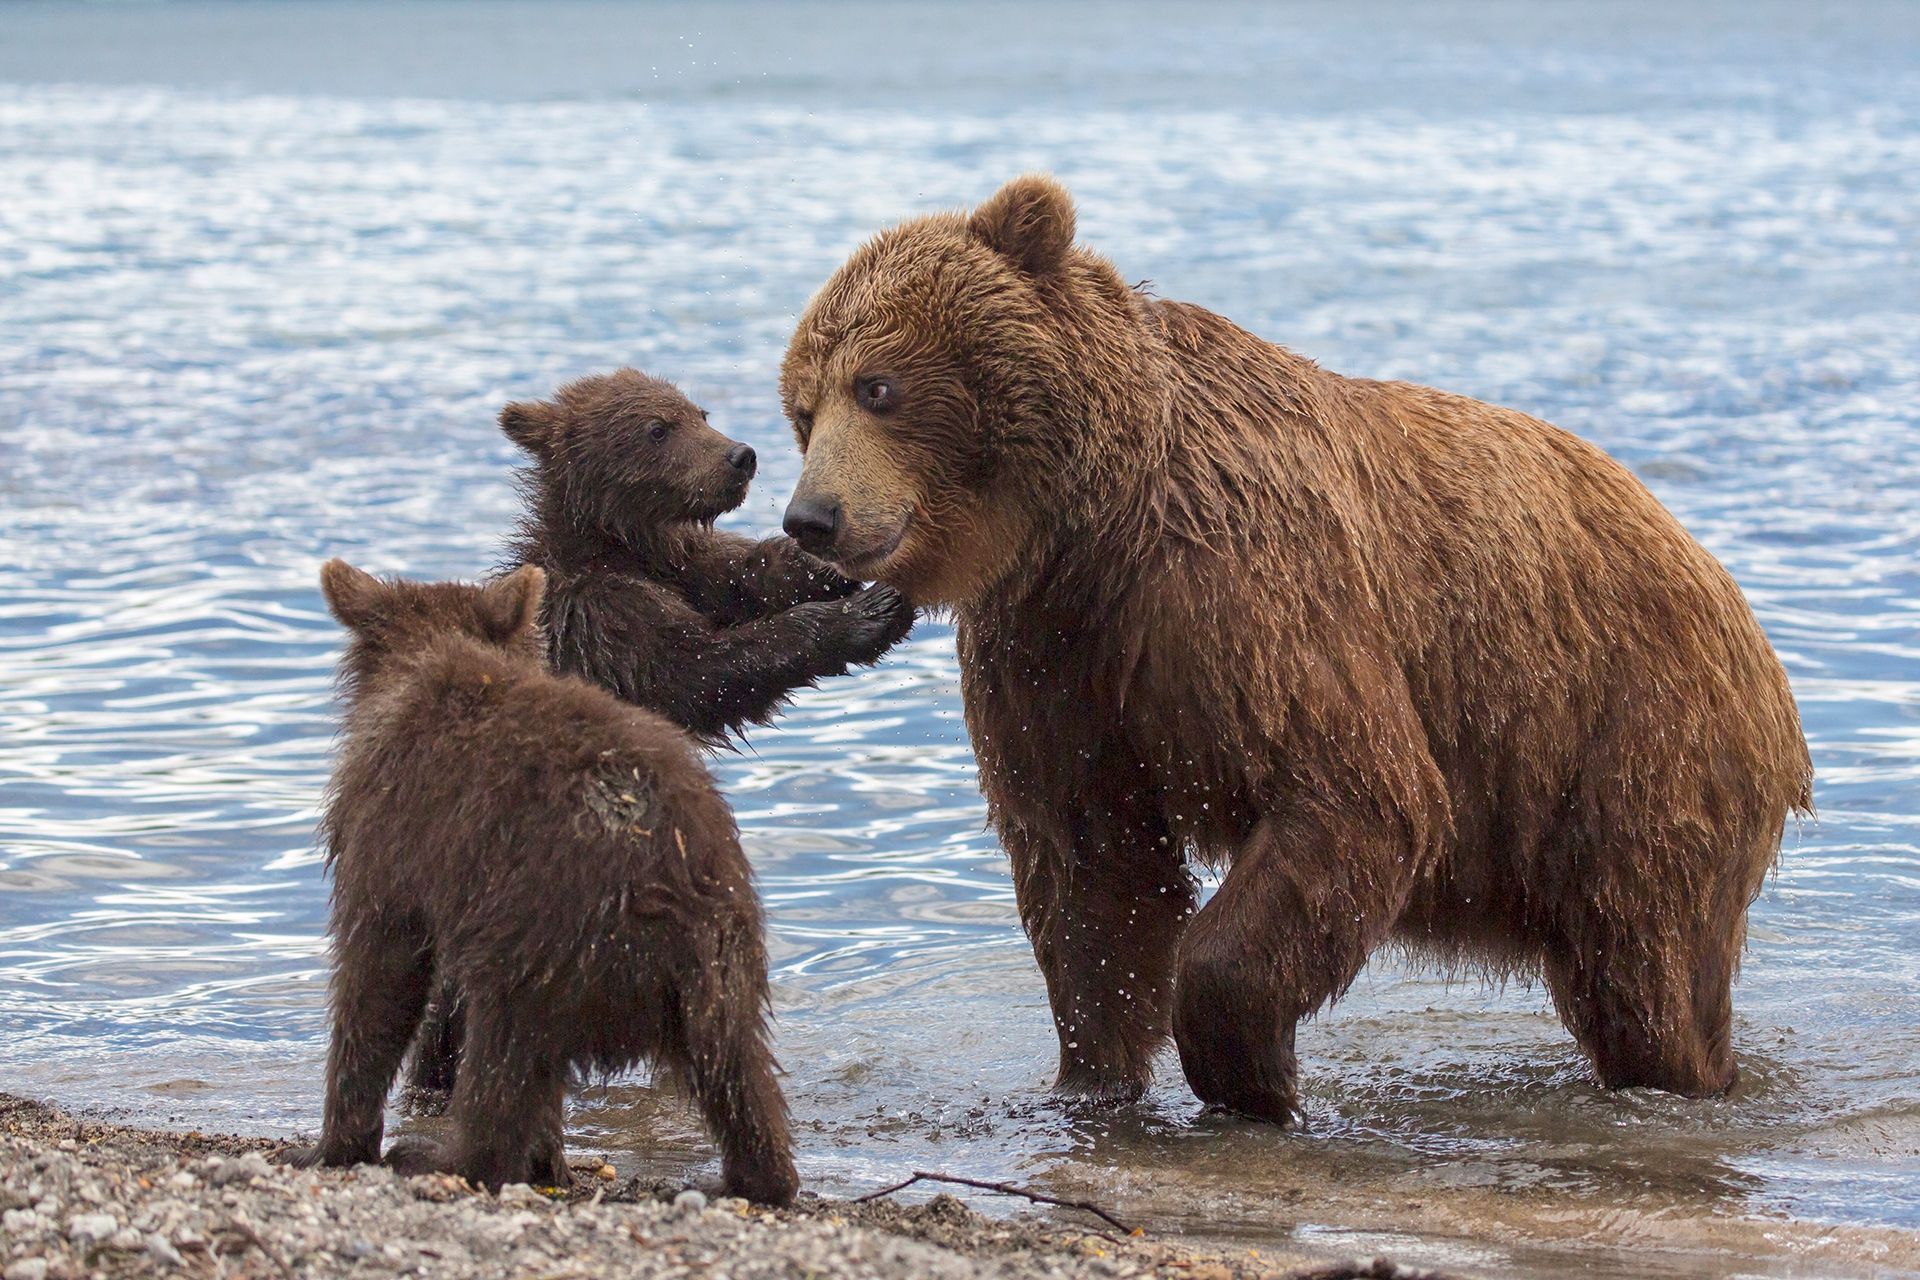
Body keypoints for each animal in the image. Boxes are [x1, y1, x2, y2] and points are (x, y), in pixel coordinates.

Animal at [282, 556, 794, 1205]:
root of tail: (664, 891)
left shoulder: (391, 831)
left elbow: (378, 973)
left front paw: (330, 1144)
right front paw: (548, 1158)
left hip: (542, 933)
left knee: (500, 1055)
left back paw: (438, 1155)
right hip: (721, 958)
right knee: (740, 1075)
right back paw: (753, 1176)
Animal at [775, 172, 1812, 1120]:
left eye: (877, 385)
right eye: (800, 409)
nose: (811, 519)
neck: (1097, 521)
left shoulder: (1240, 591)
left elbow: (1355, 794)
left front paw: (1249, 1073)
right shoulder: (1052, 650)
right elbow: (1093, 866)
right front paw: (1092, 1077)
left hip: (1633, 733)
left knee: (1645, 964)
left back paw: (1690, 1076)